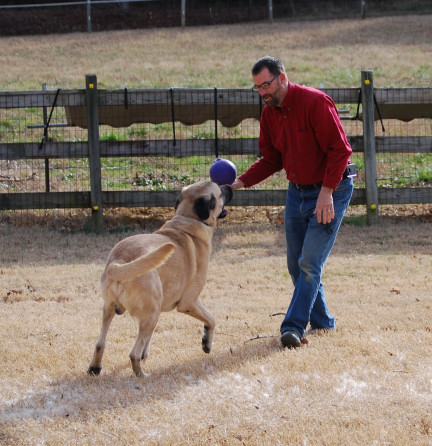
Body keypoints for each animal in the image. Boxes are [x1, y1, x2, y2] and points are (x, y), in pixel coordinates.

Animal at [85, 180, 231, 376]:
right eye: (220, 193)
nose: (230, 186)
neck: (188, 219)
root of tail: (119, 262)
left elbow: (148, 339)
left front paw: (146, 353)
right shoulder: (189, 302)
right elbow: (212, 319)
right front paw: (206, 342)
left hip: (110, 310)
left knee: (100, 343)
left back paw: (95, 368)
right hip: (151, 313)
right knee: (133, 354)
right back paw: (142, 375)